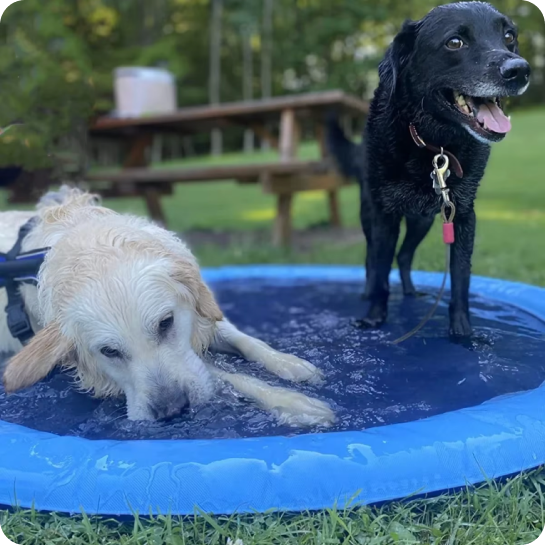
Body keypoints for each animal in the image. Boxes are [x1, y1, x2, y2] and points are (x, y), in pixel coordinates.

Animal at [0, 187, 334, 424]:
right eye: (109, 351)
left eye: (165, 323)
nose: (171, 409)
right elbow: (228, 376)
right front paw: (293, 402)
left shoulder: (200, 314)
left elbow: (246, 340)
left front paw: (289, 364)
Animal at [328, 1, 528, 336]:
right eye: (455, 42)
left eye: (509, 36)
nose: (520, 70)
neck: (435, 145)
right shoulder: (384, 215)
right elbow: (380, 269)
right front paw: (375, 318)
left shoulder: (462, 215)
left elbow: (460, 277)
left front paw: (463, 332)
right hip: (370, 212)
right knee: (372, 259)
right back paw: (368, 294)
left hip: (422, 220)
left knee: (405, 255)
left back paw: (410, 291)